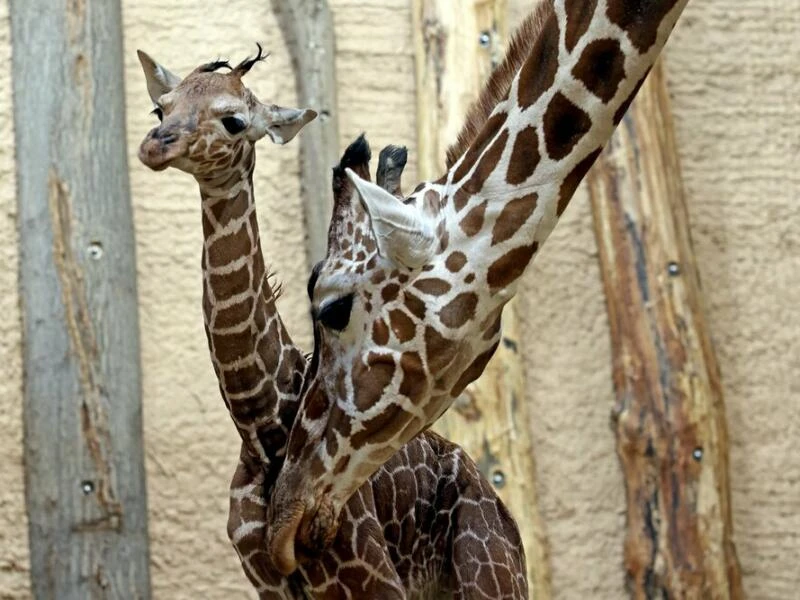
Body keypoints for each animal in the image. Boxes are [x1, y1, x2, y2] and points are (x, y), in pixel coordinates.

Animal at [137, 48, 528, 600]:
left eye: (234, 120)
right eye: (161, 108)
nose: (155, 145)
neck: (261, 422)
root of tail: (505, 516)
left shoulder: (367, 576)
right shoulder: (270, 581)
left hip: (491, 579)